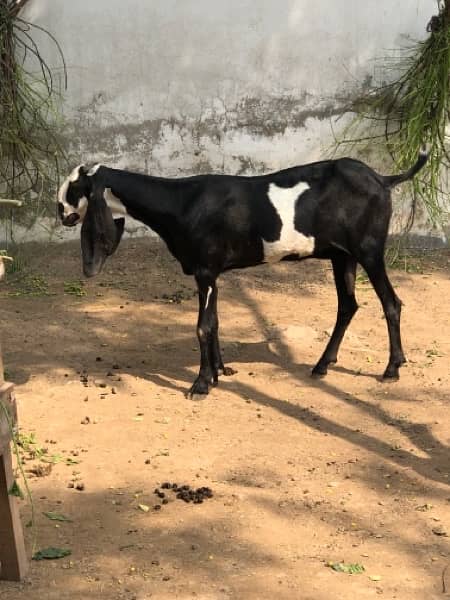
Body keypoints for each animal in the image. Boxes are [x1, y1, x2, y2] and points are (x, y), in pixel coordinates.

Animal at [58, 152, 428, 396]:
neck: (180, 203)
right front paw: (221, 371)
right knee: (348, 305)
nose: (61, 214)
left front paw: (201, 384)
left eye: (74, 189)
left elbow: (202, 327)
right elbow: (215, 321)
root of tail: (383, 179)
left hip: (369, 249)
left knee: (391, 302)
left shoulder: (205, 270)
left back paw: (391, 369)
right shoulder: (211, 274)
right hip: (343, 255)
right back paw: (322, 365)